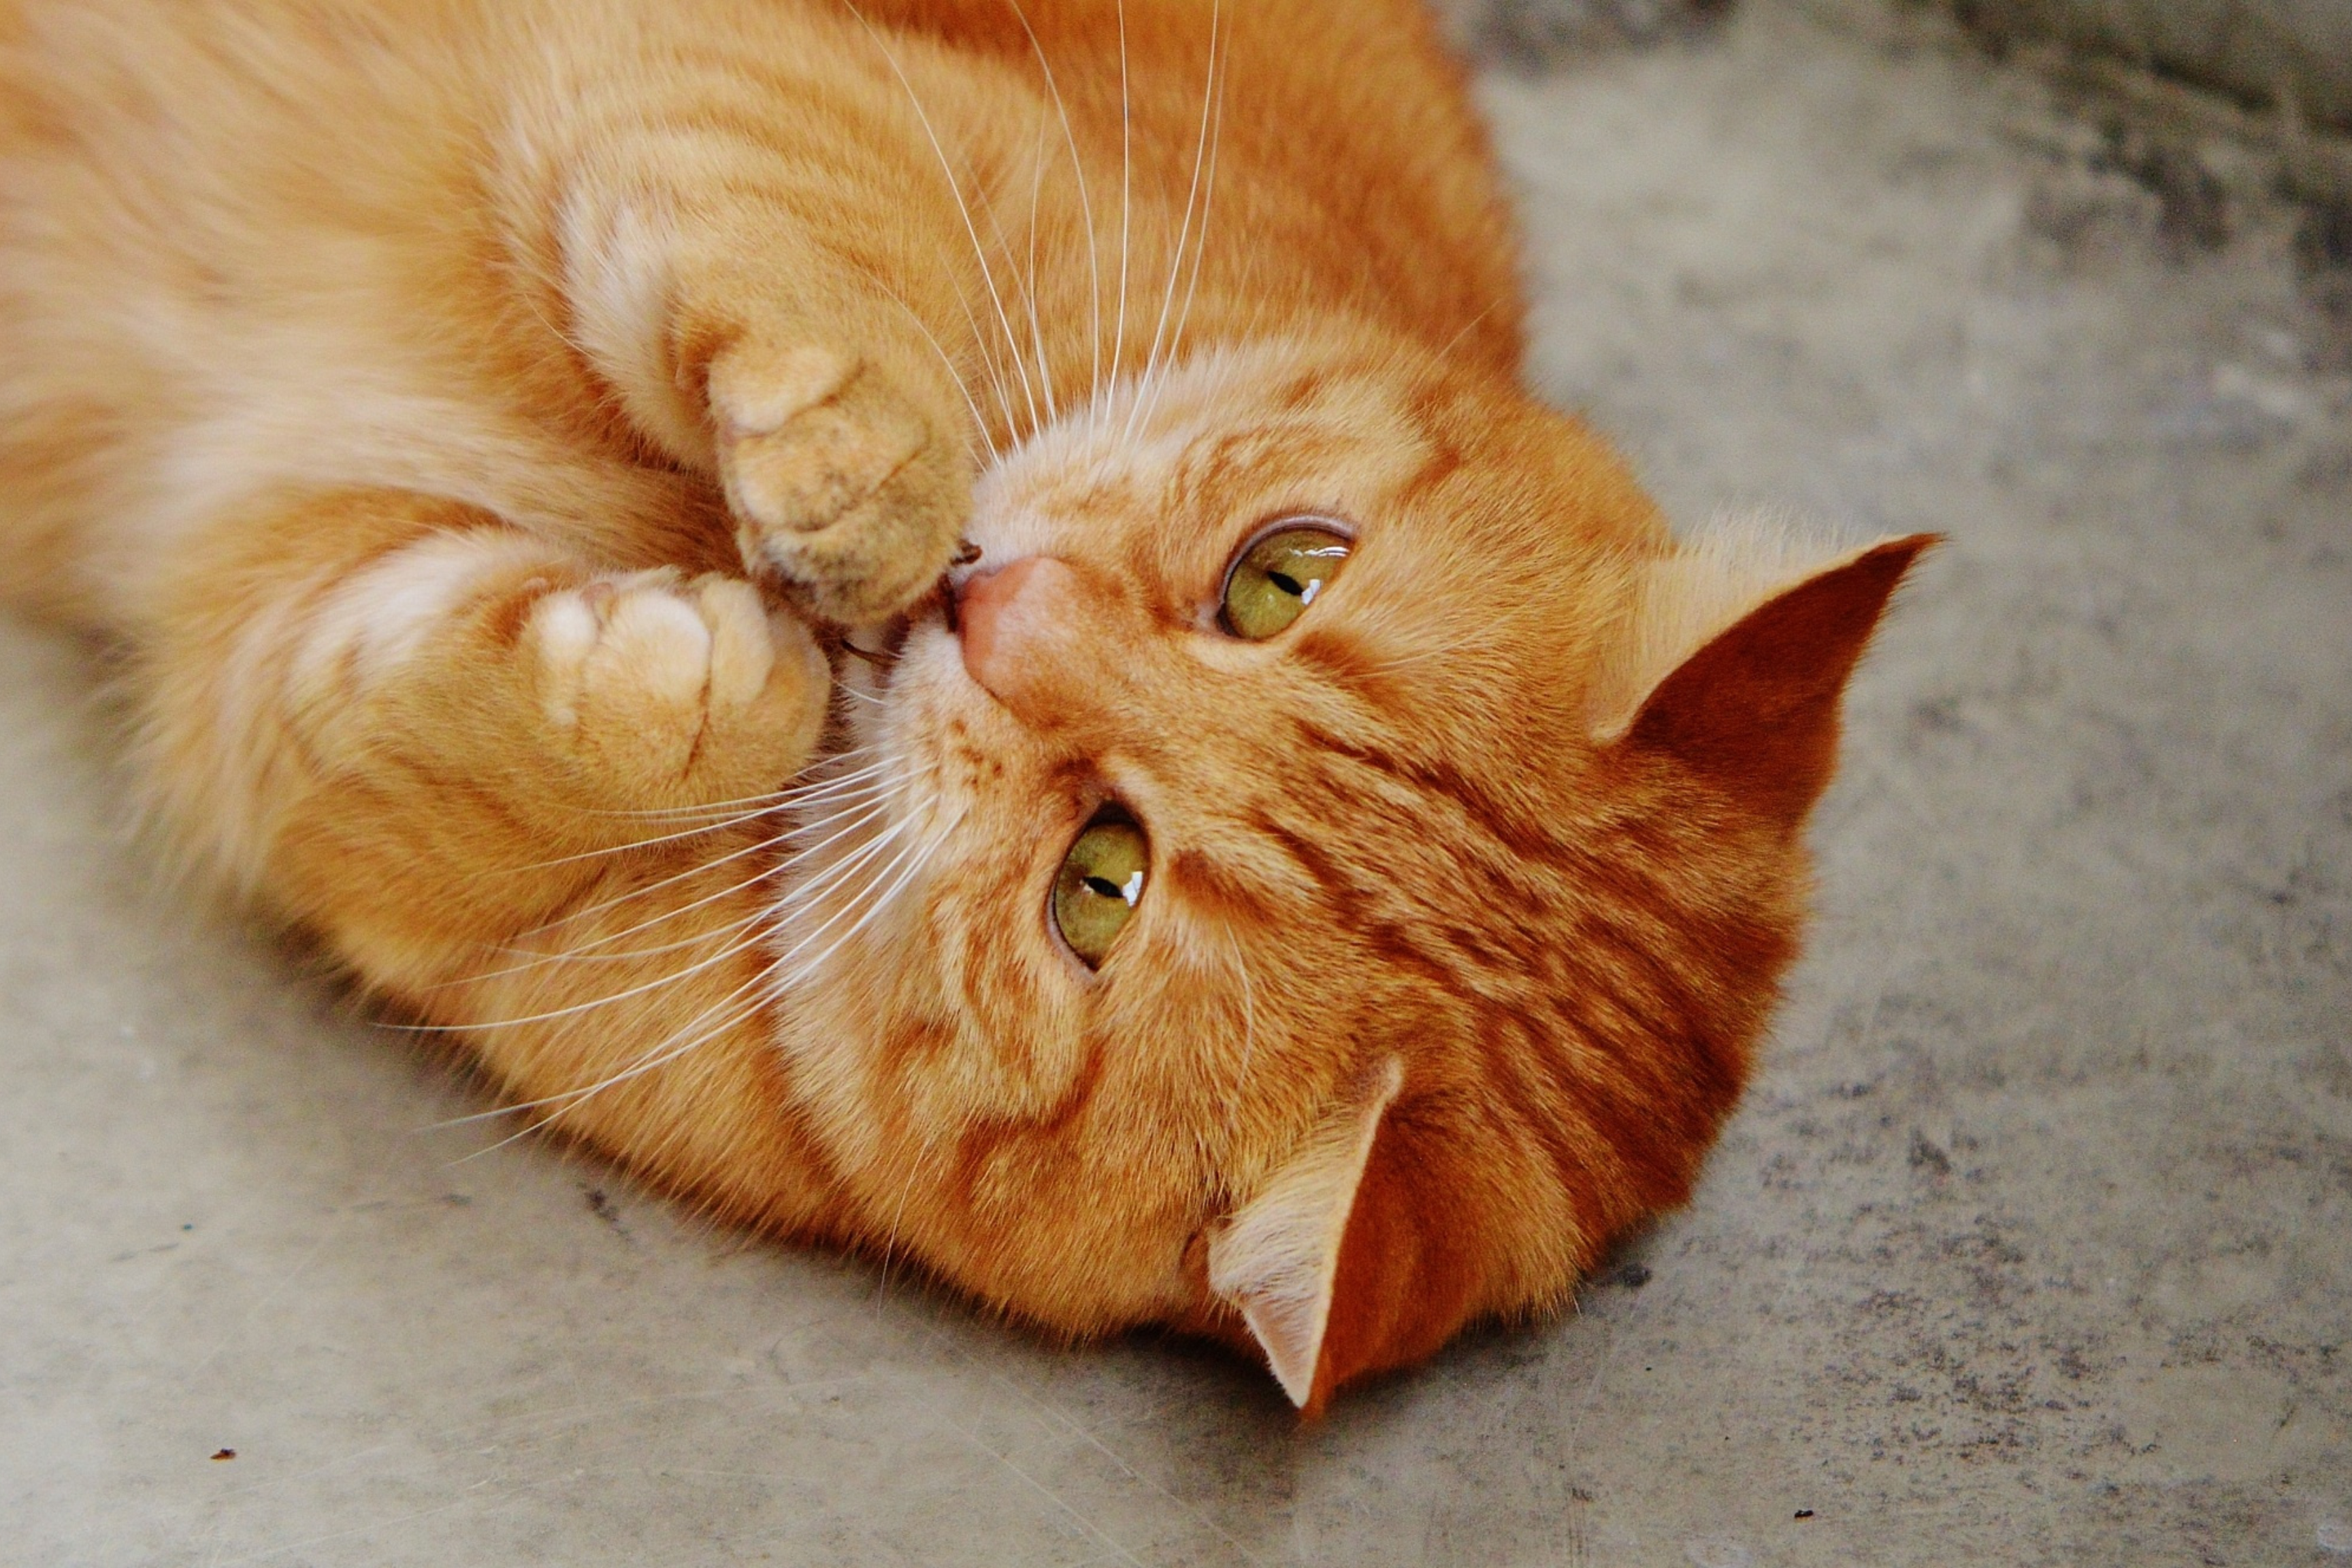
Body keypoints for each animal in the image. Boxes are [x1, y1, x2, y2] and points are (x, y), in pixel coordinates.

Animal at [0, 0, 1928, 1410]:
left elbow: (478, 729)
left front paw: (730, 666)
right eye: (1280, 578)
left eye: (1101, 886)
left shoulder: (316, 696)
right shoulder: (733, 86)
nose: (979, 608)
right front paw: (855, 492)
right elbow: (809, 261)